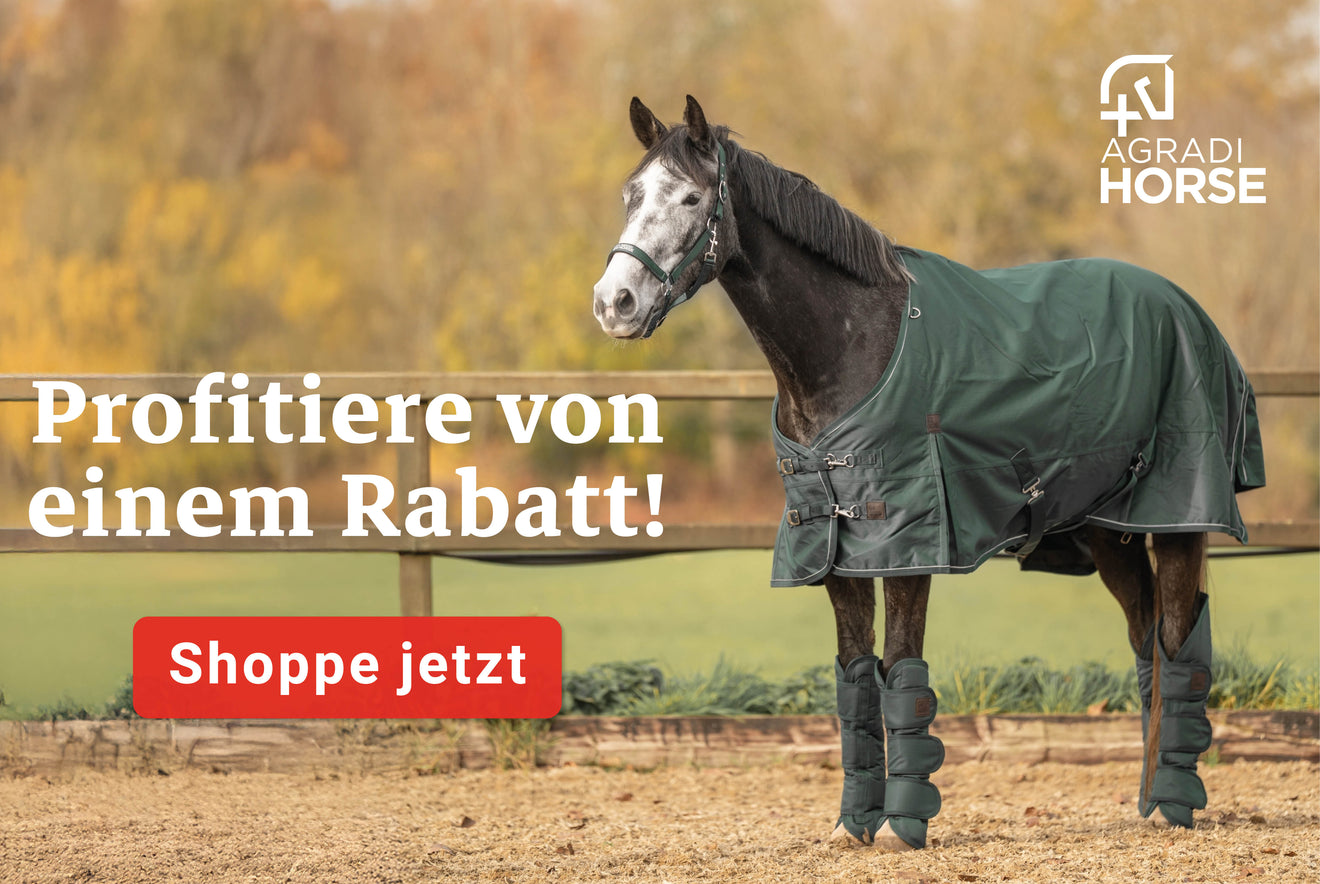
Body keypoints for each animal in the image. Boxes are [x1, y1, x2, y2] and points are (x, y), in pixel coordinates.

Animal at [592, 96, 1265, 852]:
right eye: (630, 195)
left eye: (690, 197)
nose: (614, 303)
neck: (852, 345)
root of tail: (1186, 309)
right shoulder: (834, 549)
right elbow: (856, 680)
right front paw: (853, 824)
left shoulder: (908, 542)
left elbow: (901, 673)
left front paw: (902, 825)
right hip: (1108, 530)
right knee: (1146, 641)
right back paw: (1147, 803)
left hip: (1176, 517)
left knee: (1178, 643)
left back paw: (1174, 806)